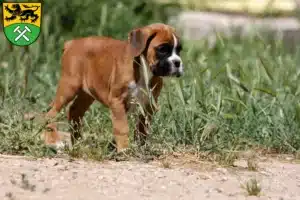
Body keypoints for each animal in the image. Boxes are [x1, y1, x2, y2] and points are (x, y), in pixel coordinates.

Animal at [42, 22, 183, 152]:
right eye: (162, 49)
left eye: (179, 50)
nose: (178, 62)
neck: (144, 69)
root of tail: (71, 43)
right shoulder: (117, 101)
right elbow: (122, 127)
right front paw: (124, 150)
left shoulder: (148, 105)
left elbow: (143, 128)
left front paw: (141, 147)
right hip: (69, 87)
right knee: (51, 113)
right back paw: (53, 142)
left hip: (87, 94)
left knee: (74, 111)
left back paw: (78, 143)